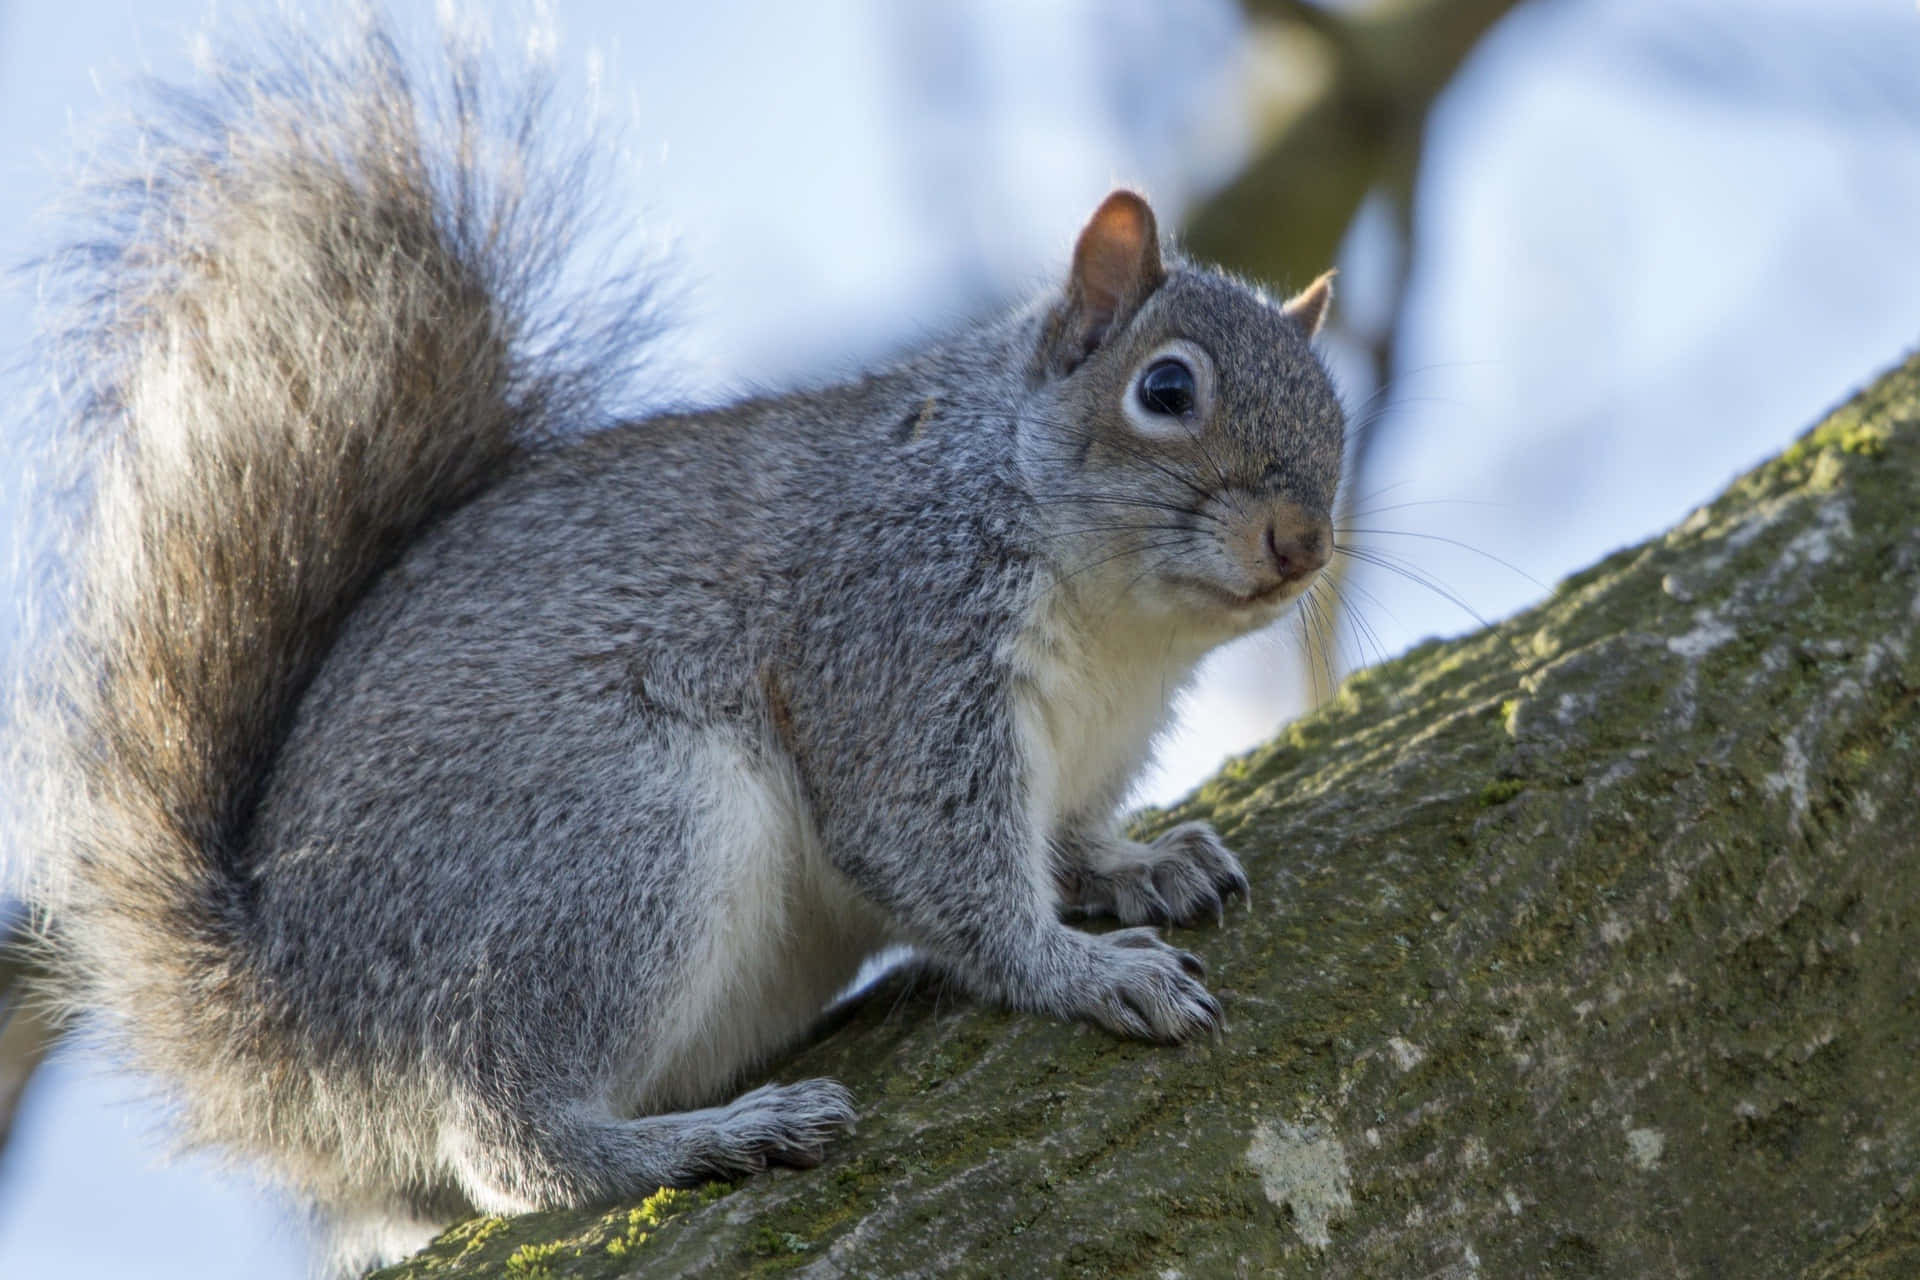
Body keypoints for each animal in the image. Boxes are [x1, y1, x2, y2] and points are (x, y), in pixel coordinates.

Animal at [8, 17, 1343, 1272]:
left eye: (1337, 415)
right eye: (1165, 391)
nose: (1301, 539)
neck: (1125, 630)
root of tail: (285, 1002)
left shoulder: (1084, 746)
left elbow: (1063, 839)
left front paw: (1140, 863)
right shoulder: (893, 641)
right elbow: (943, 867)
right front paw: (1086, 970)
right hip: (617, 833)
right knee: (507, 1132)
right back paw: (705, 1139)